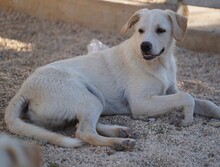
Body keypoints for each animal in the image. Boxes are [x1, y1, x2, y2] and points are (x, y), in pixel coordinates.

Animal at [3, 8, 220, 151]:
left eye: (161, 30)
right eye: (140, 31)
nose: (145, 46)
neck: (160, 64)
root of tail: (23, 90)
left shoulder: (171, 91)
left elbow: (204, 102)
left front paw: (214, 112)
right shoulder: (141, 103)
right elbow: (187, 97)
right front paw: (187, 119)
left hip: (91, 100)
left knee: (79, 124)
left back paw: (119, 131)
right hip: (88, 98)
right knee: (83, 132)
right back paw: (119, 142)